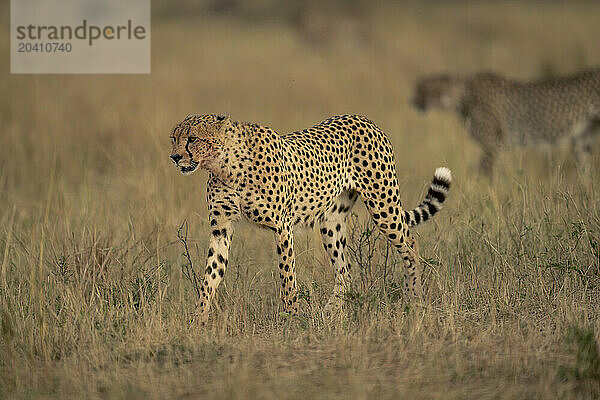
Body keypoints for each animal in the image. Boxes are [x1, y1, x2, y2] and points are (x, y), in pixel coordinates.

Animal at [169, 114, 450, 324]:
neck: (225, 166)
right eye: (174, 139)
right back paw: (330, 312)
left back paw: (414, 299)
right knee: (345, 271)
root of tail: (363, 118)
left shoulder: (282, 226)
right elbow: (210, 276)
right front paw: (198, 321)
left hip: (383, 206)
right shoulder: (221, 228)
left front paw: (291, 318)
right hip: (331, 223)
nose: (175, 157)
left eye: (192, 138)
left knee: (410, 245)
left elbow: (287, 276)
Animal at [412, 69, 600, 175]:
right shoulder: (497, 146)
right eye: (417, 89)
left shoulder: (496, 145)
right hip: (582, 140)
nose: (412, 101)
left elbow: (485, 174)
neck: (462, 94)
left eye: (423, 90)